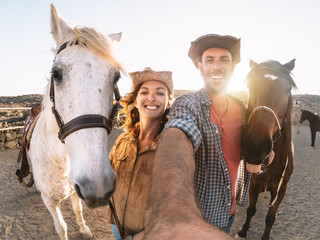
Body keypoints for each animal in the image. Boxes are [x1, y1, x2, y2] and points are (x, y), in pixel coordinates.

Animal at [26, 4, 123, 239]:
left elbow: (78, 209)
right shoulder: (50, 201)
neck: (59, 159)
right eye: (56, 73)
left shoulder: (75, 190)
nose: (98, 186)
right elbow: (61, 227)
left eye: (116, 77)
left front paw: (85, 229)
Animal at [236, 59, 296, 239]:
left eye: (288, 89)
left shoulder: (280, 191)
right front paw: (243, 230)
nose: (256, 146)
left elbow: (270, 218)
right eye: (250, 86)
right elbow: (251, 210)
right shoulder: (253, 185)